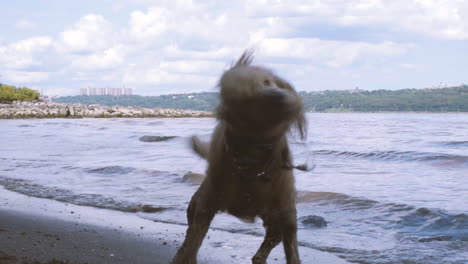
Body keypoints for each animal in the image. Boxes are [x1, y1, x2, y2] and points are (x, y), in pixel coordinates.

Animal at [172, 50, 308, 264]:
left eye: (267, 81)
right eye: (248, 100)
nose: (279, 96)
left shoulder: (286, 214)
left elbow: (292, 250)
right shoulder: (206, 206)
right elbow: (193, 241)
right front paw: (185, 256)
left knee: (269, 241)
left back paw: (259, 257)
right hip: (198, 203)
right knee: (189, 233)